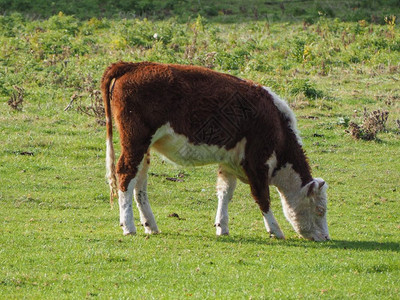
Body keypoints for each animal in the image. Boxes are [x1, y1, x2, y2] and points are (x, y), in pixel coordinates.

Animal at [99, 61, 328, 241]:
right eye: (320, 210)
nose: (326, 237)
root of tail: (134, 65)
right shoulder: (257, 161)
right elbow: (262, 196)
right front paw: (275, 230)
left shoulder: (229, 162)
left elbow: (225, 193)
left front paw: (222, 227)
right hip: (135, 141)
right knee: (125, 174)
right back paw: (129, 226)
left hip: (143, 148)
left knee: (139, 184)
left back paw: (150, 226)